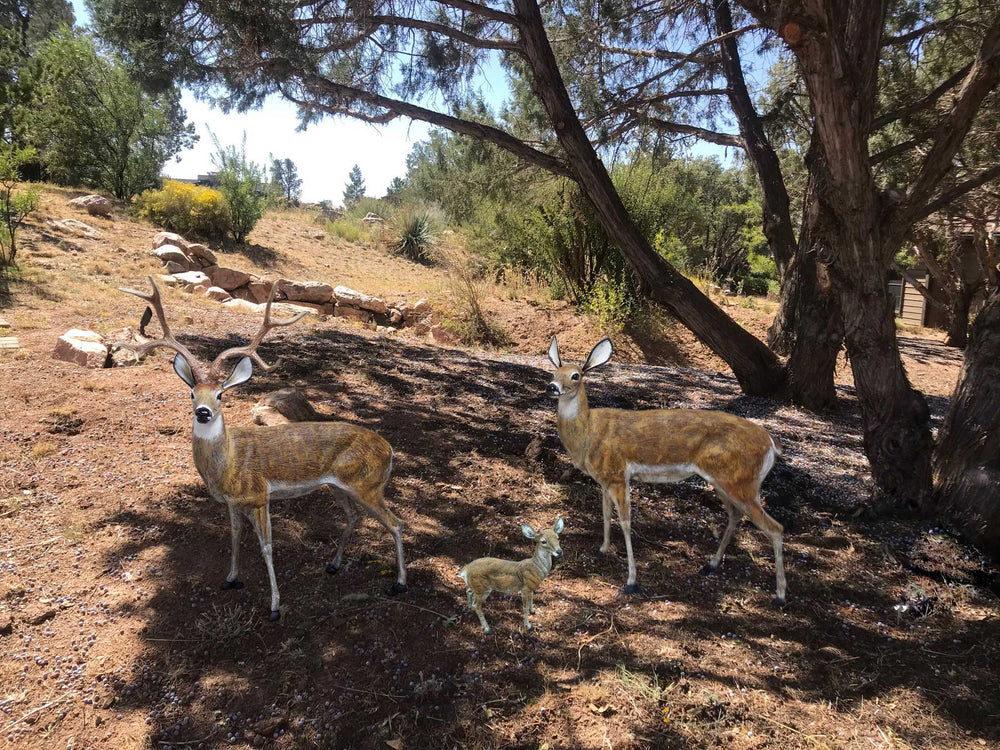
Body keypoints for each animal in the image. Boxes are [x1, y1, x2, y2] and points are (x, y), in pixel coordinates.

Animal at [119, 276, 407, 621]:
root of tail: (390, 449)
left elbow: (267, 547)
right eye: (191, 393)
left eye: (220, 395)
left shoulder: (259, 496)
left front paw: (274, 606)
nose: (203, 412)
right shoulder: (232, 503)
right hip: (339, 486)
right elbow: (234, 537)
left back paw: (399, 584)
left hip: (368, 485)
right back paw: (334, 565)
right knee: (353, 518)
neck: (227, 466)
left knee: (397, 523)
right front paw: (230, 579)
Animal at [546, 337, 786, 606]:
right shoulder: (604, 479)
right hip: (725, 481)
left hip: (742, 481)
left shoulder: (618, 475)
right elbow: (605, 514)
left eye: (576, 375)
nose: (552, 387)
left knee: (775, 528)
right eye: (554, 371)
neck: (588, 434)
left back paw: (779, 596)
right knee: (736, 515)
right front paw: (602, 550)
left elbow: (625, 522)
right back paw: (710, 565)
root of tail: (771, 444)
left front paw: (631, 582)